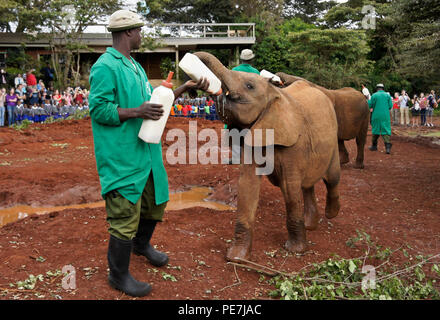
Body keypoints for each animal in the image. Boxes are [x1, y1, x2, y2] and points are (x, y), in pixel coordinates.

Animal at [194, 52, 342, 262]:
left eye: (249, 86)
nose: (201, 83)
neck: (276, 95)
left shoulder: (293, 143)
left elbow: (290, 188)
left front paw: (295, 250)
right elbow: (247, 185)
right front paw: (237, 257)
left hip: (333, 139)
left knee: (331, 178)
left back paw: (331, 214)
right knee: (307, 185)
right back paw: (310, 225)